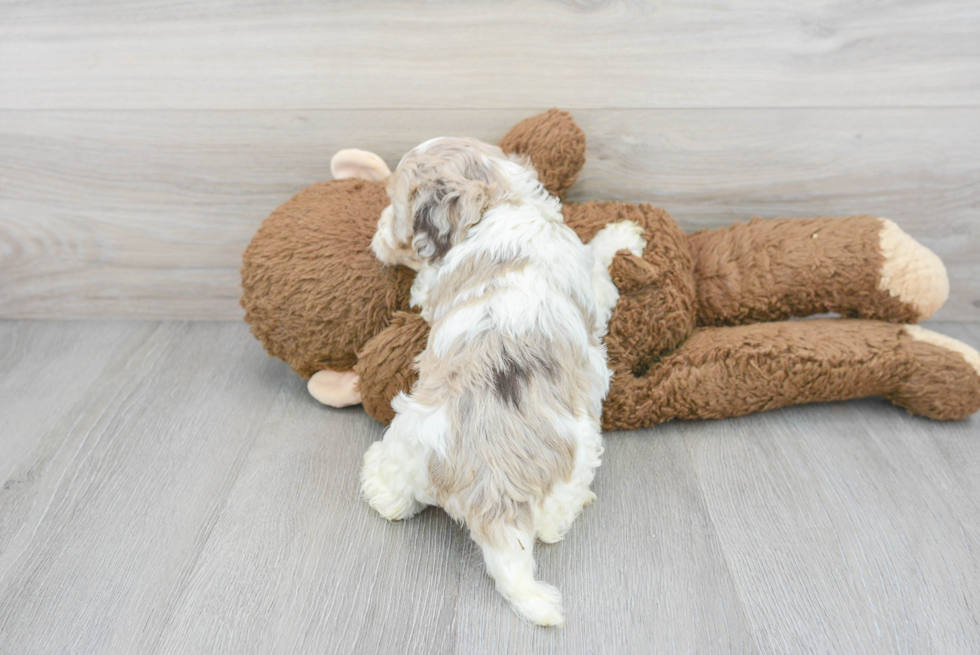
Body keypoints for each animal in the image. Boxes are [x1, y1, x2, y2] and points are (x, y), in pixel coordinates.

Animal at [364, 137, 648, 624]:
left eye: (394, 206)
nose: (376, 230)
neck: (500, 199)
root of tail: (491, 490)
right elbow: (598, 260)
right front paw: (623, 235)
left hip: (409, 437)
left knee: (393, 499)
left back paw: (374, 478)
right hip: (579, 451)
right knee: (550, 525)